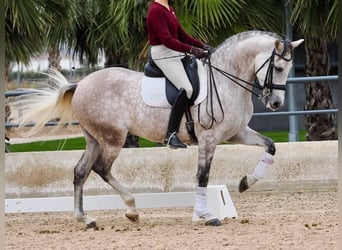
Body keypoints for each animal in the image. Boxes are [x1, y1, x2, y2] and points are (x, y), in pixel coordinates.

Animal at [17, 30, 304, 227]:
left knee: (80, 171)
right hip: (113, 138)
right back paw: (131, 209)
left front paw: (245, 183)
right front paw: (206, 215)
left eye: (290, 67)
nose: (276, 103)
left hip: (94, 139)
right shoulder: (209, 138)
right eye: (278, 67)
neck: (226, 80)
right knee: (101, 169)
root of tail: (82, 84)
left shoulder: (235, 134)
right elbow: (202, 176)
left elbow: (271, 147)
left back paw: (85, 219)